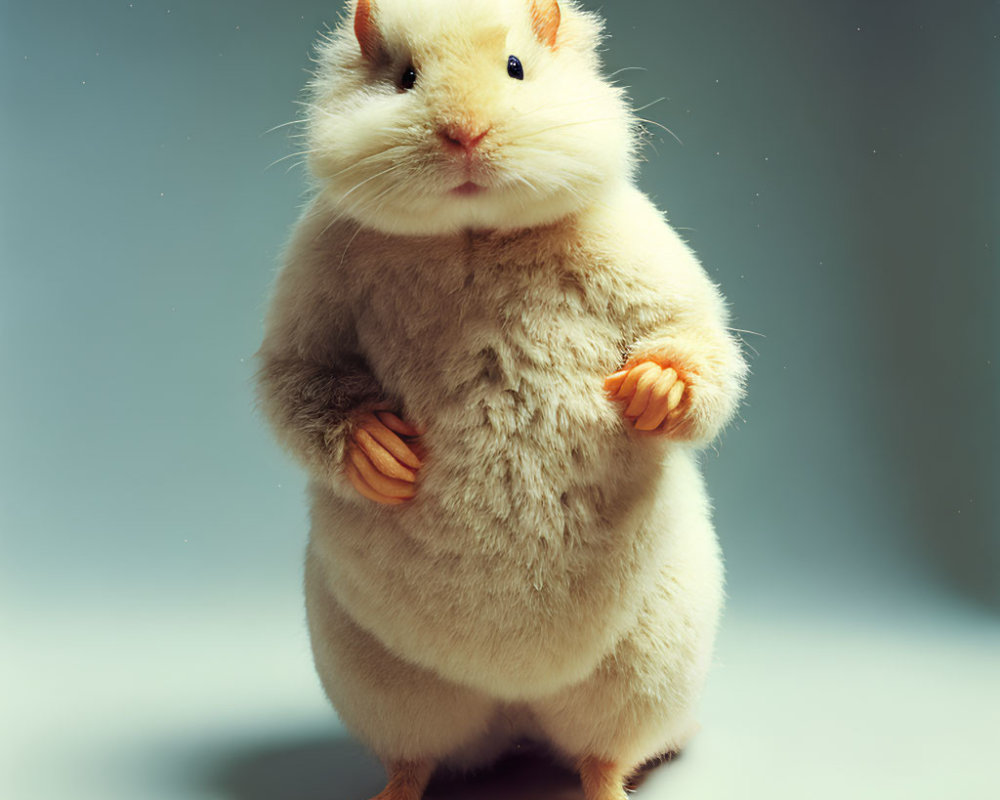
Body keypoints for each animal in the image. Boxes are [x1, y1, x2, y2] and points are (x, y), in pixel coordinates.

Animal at [254, 1, 748, 800]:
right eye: (406, 78)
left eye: (516, 68)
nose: (464, 134)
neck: (473, 232)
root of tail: (517, 710)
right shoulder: (309, 293)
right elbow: (301, 386)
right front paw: (387, 456)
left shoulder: (650, 261)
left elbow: (696, 344)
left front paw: (646, 392)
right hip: (382, 682)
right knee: (415, 756)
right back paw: (393, 790)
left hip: (644, 667)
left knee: (607, 755)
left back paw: (609, 785)